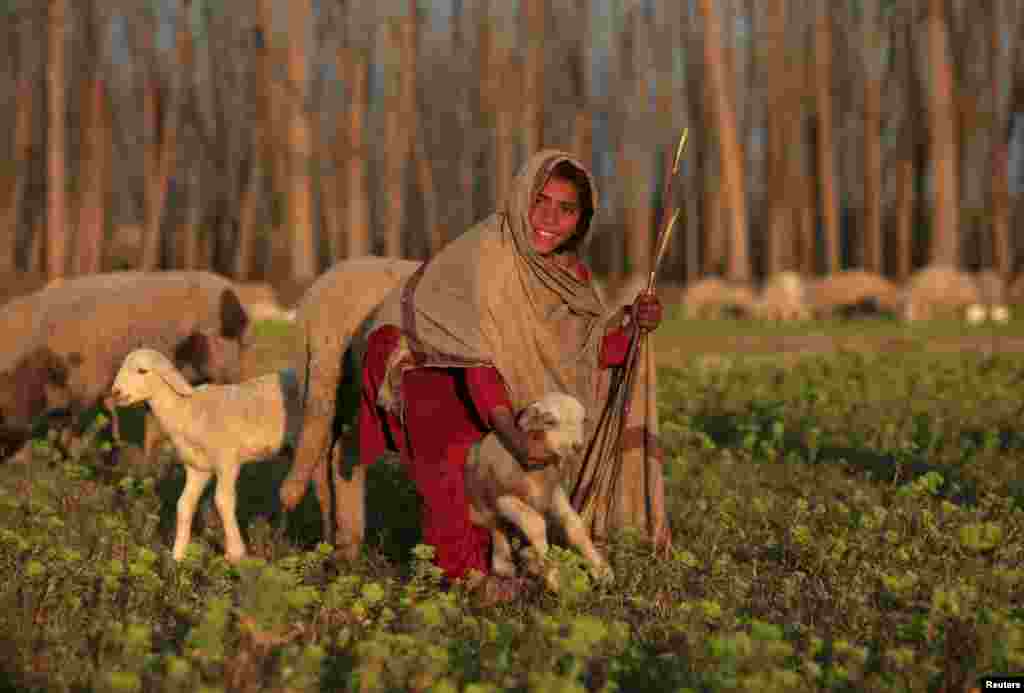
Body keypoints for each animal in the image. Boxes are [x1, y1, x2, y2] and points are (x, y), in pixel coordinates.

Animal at [115, 348, 303, 560]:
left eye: (142, 370)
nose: (115, 392)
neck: (186, 410)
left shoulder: (227, 462)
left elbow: (222, 501)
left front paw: (235, 553)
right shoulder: (198, 468)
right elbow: (184, 505)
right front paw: (177, 556)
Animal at [466, 391, 614, 593]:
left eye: (581, 421)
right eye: (550, 422)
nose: (577, 446)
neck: (538, 474)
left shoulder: (554, 493)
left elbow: (575, 524)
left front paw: (601, 570)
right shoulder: (503, 498)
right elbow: (535, 523)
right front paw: (552, 574)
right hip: (482, 503)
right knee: (496, 527)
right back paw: (505, 566)